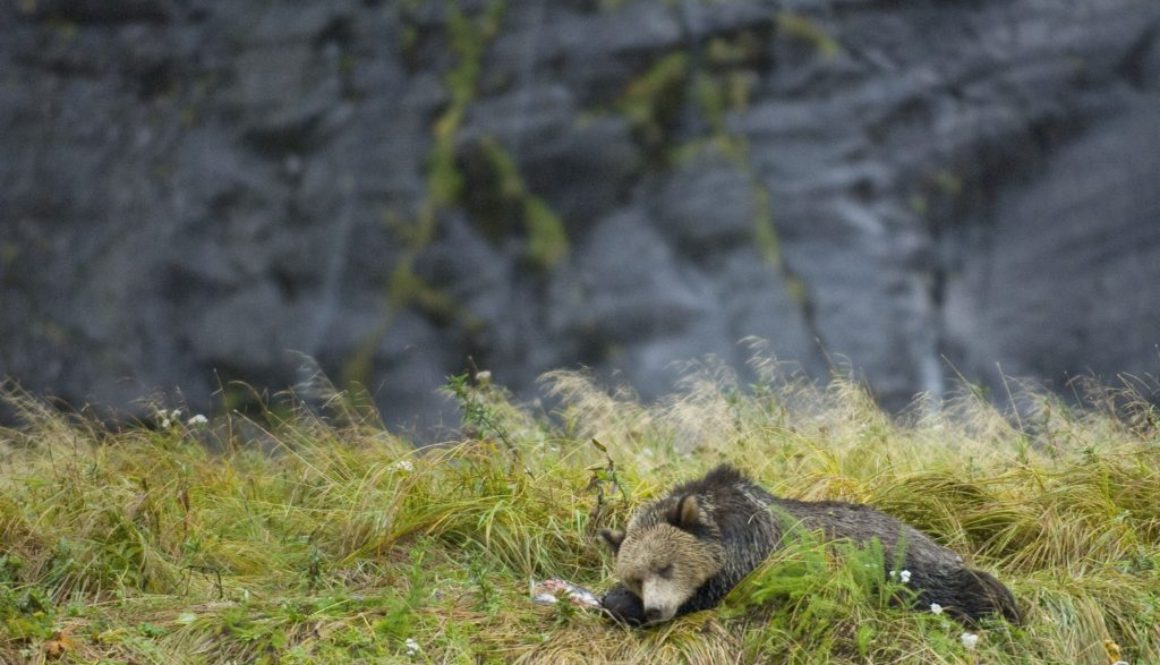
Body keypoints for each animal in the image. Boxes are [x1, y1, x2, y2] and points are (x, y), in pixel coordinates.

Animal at [603, 464, 1020, 626]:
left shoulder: (752, 551)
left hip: (917, 571)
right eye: (636, 577)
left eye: (665, 566)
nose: (655, 609)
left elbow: (714, 593)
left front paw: (615, 603)